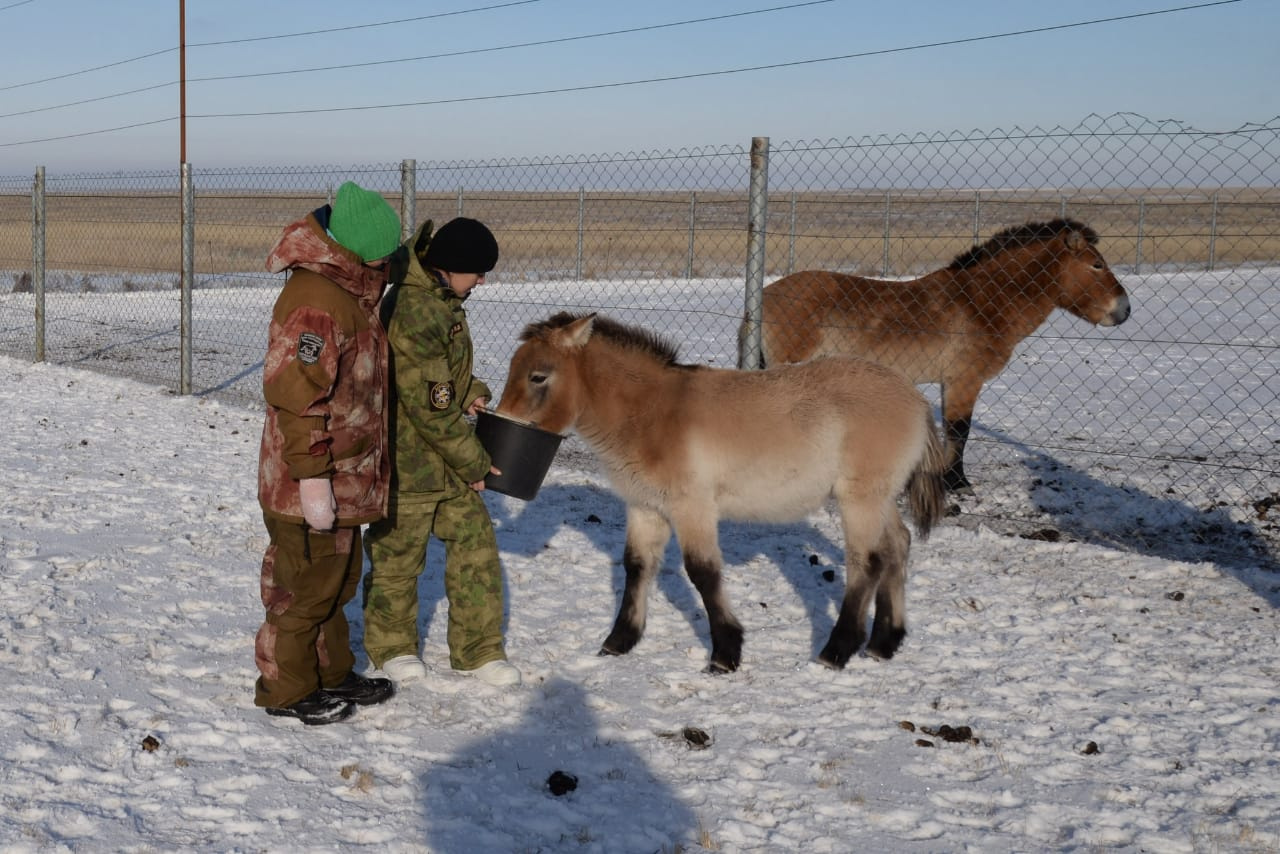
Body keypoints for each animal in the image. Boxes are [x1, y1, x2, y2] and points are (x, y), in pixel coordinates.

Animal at [494, 313, 947, 676]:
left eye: (538, 376)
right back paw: (884, 643)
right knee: (897, 545)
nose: (500, 421)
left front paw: (725, 654)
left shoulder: (692, 508)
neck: (653, 414)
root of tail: (917, 399)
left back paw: (836, 651)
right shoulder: (645, 507)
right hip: (880, 499)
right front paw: (619, 641)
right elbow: (637, 567)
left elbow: (704, 573)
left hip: (860, 500)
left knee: (867, 562)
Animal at [747, 218, 1131, 494]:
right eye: (1097, 265)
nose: (1124, 310)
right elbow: (960, 432)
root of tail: (767, 295)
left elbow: (953, 432)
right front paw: (958, 484)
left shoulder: (952, 383)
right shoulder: (965, 381)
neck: (981, 303)